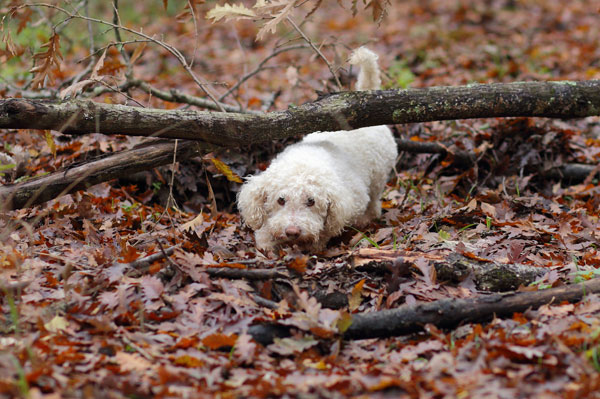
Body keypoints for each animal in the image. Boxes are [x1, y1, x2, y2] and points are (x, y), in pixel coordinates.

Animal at [236, 47, 398, 253]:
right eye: (280, 200)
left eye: (311, 201)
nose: (292, 231)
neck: (305, 160)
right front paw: (267, 241)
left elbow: (328, 229)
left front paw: (314, 244)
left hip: (378, 176)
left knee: (374, 201)